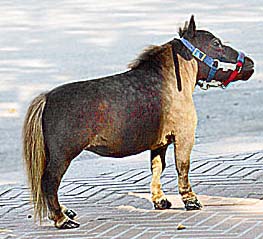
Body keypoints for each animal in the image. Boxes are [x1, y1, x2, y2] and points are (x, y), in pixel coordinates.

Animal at [23, 15, 255, 229]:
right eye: (216, 43)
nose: (250, 63)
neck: (170, 82)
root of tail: (47, 98)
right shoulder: (184, 137)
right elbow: (182, 167)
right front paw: (190, 200)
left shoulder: (160, 143)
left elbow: (157, 168)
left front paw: (160, 200)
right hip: (62, 155)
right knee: (49, 182)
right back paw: (61, 219)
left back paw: (64, 212)